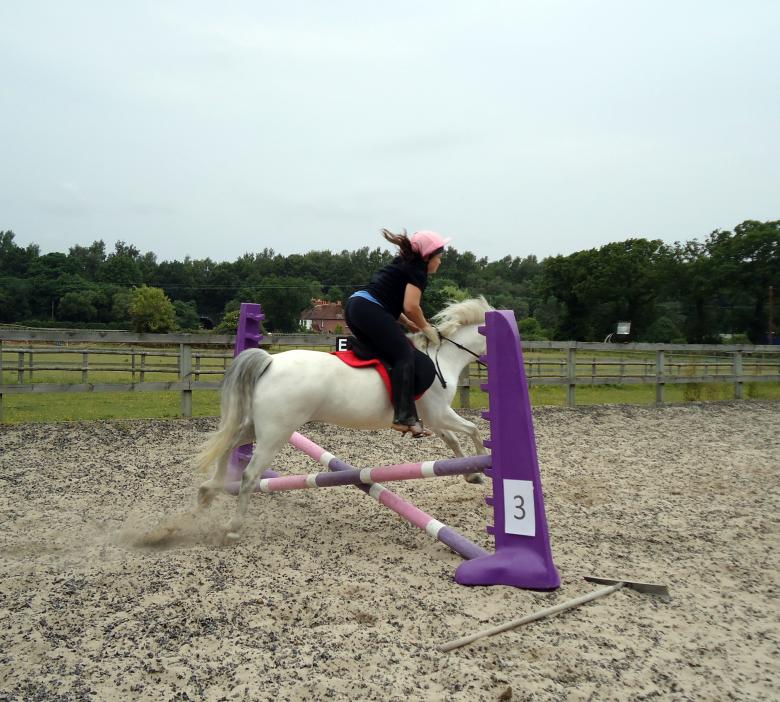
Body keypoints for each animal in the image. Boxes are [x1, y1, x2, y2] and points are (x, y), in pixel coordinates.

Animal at [197, 296, 494, 540]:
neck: (443, 358)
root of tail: (270, 362)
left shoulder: (434, 419)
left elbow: (454, 440)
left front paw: (472, 475)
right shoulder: (441, 413)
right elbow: (473, 430)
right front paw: (483, 467)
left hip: (259, 427)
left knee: (229, 445)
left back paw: (209, 490)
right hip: (276, 433)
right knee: (249, 475)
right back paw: (233, 527)